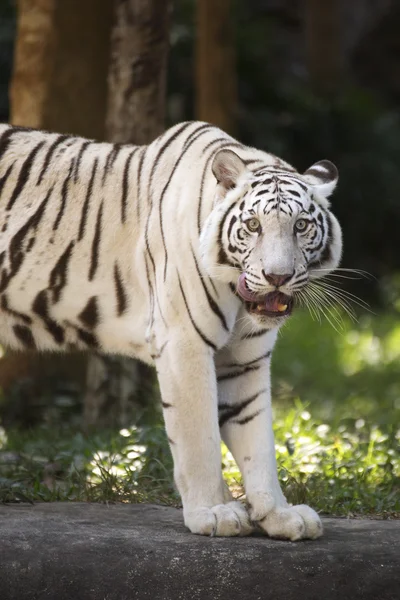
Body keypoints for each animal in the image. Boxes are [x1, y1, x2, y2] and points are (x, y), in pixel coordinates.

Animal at [0, 120, 340, 540]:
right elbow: (199, 437)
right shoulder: (184, 342)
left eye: (301, 226)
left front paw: (280, 514)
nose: (278, 277)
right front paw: (214, 512)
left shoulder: (245, 361)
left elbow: (257, 438)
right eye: (253, 225)